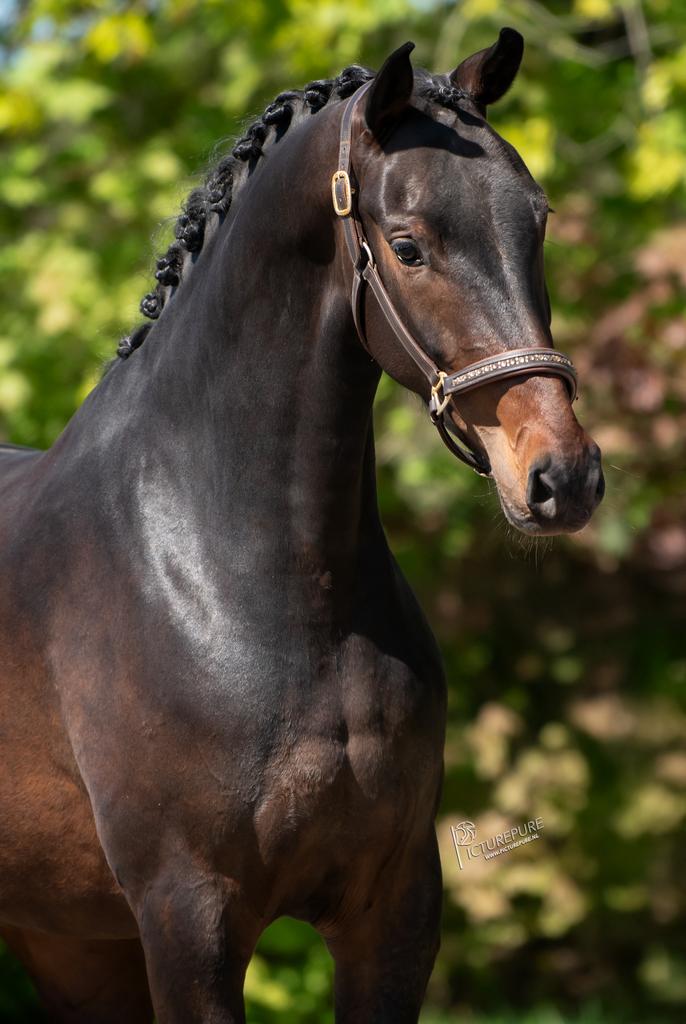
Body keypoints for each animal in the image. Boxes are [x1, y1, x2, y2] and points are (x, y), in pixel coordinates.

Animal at [0, 29, 604, 1023]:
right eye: (408, 246)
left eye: (538, 222)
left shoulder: (393, 912)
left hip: (71, 946)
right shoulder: (189, 915)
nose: (564, 477)